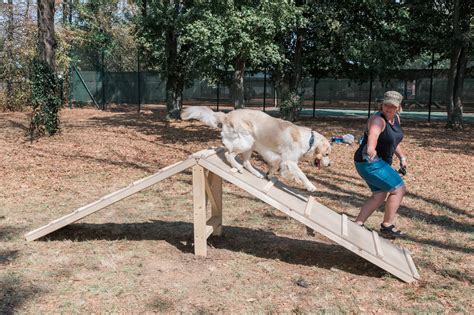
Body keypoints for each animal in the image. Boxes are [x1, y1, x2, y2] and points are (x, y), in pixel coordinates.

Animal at [180, 107, 332, 193]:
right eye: (326, 154)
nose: (330, 164)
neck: (309, 140)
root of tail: (227, 115)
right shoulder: (290, 161)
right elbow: (302, 174)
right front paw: (309, 186)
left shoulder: (279, 159)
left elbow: (279, 170)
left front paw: (271, 176)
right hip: (246, 142)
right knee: (229, 154)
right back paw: (238, 167)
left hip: (251, 145)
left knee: (246, 162)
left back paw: (256, 173)